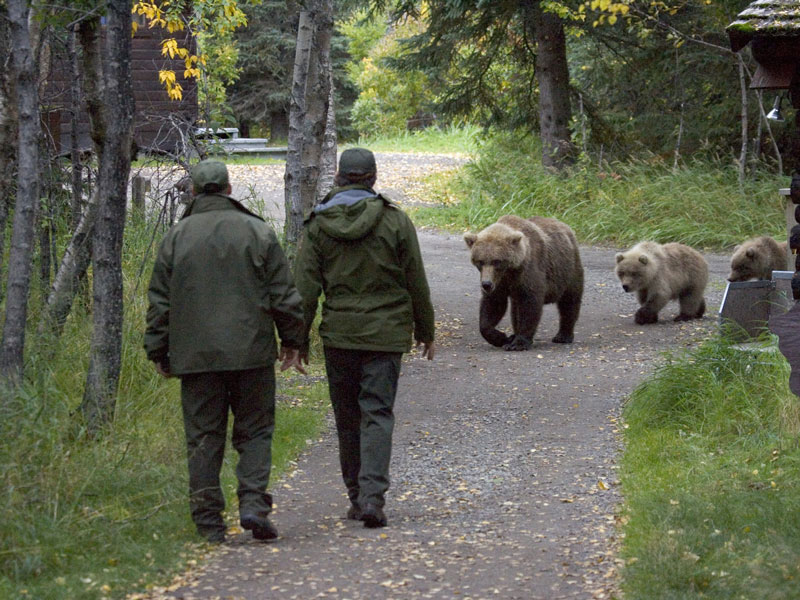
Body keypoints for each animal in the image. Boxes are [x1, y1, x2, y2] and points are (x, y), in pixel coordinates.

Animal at [462, 214, 580, 352]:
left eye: (496, 261)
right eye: (480, 261)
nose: (486, 284)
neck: (511, 270)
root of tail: (564, 225)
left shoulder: (528, 273)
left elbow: (529, 306)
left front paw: (519, 343)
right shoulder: (500, 282)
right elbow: (492, 305)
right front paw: (502, 338)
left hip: (568, 270)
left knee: (569, 301)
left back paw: (563, 336)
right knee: (515, 310)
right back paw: (514, 335)